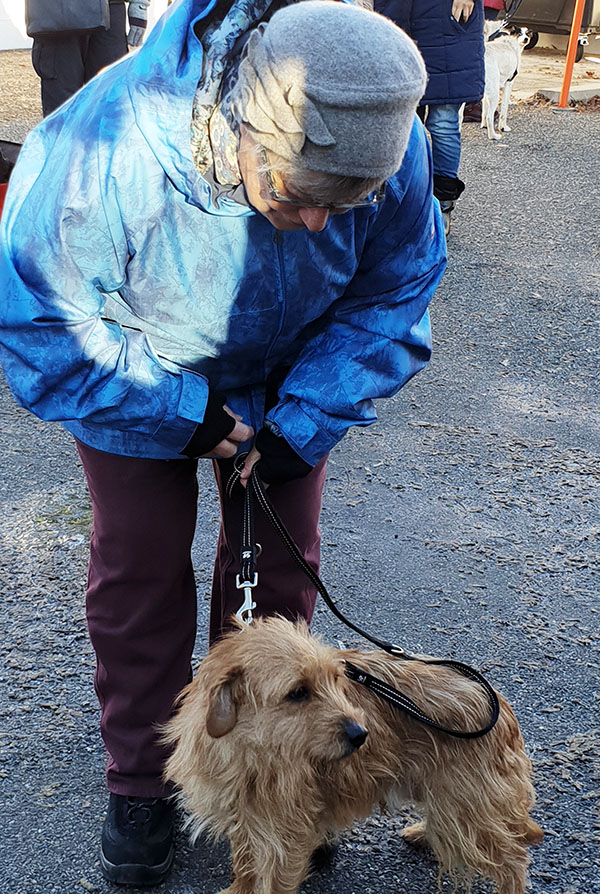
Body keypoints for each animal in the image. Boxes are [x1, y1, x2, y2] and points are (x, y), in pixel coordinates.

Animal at [163, 617, 543, 893]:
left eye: (336, 679)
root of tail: (500, 706)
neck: (253, 753)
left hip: (467, 810)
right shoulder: (246, 820)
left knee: (513, 861)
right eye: (298, 692)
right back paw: (423, 832)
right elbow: (244, 867)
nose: (361, 735)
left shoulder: (286, 837)